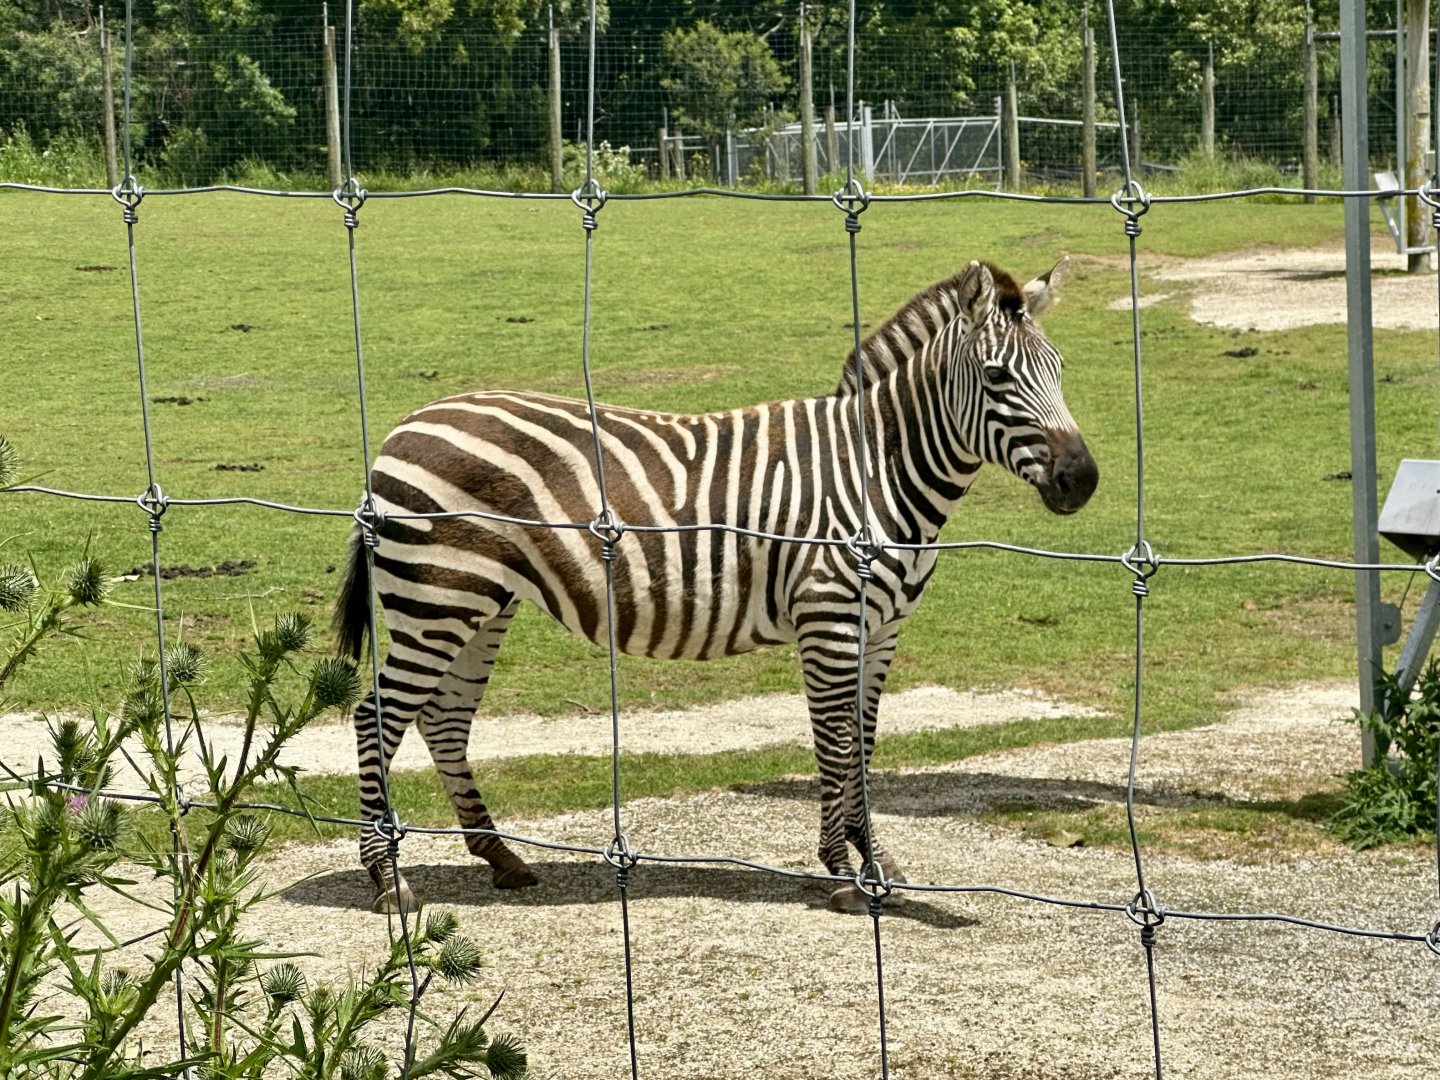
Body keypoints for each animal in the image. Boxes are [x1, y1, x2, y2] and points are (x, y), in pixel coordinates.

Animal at [334, 257, 1097, 914]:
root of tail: (404, 426)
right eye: (996, 377)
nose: (1081, 480)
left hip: (482, 602)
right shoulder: (828, 619)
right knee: (377, 717)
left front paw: (875, 862)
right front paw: (842, 873)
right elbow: (836, 743)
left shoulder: (882, 630)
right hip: (437, 599)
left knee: (443, 719)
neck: (877, 471)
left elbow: (865, 744)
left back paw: (499, 857)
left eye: (1062, 371)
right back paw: (388, 878)